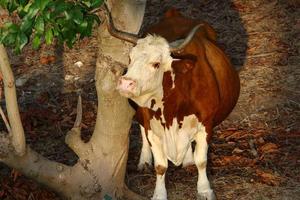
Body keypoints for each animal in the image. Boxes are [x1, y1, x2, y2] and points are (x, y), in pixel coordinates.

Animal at [104, 5, 240, 200]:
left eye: (156, 64)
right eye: (130, 58)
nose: (125, 83)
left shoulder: (206, 124)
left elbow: (201, 160)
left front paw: (204, 189)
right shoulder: (152, 126)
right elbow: (160, 165)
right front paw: (159, 193)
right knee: (141, 128)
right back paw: (145, 159)